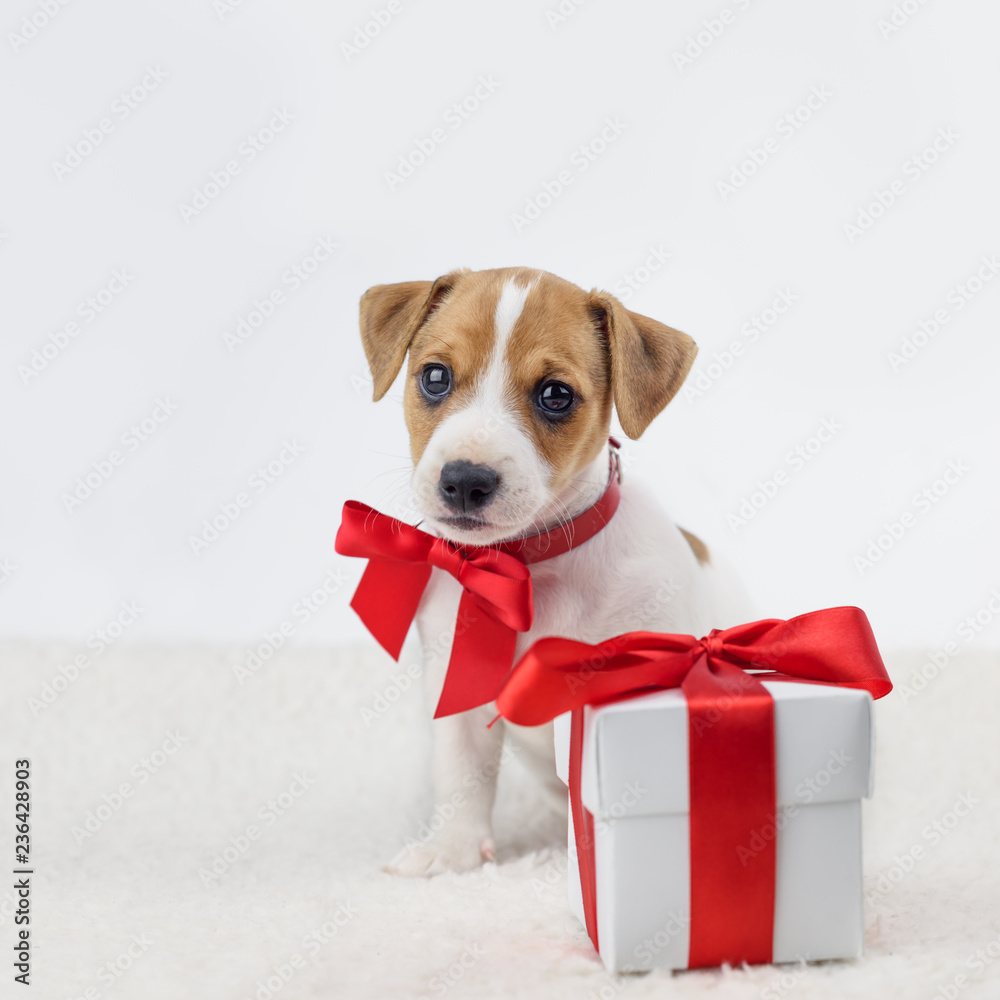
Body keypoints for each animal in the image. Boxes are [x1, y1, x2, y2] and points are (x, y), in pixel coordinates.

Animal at [348, 266, 748, 876]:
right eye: (435, 376)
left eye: (555, 395)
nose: (464, 480)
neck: (526, 569)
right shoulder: (454, 680)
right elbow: (461, 771)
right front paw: (453, 851)